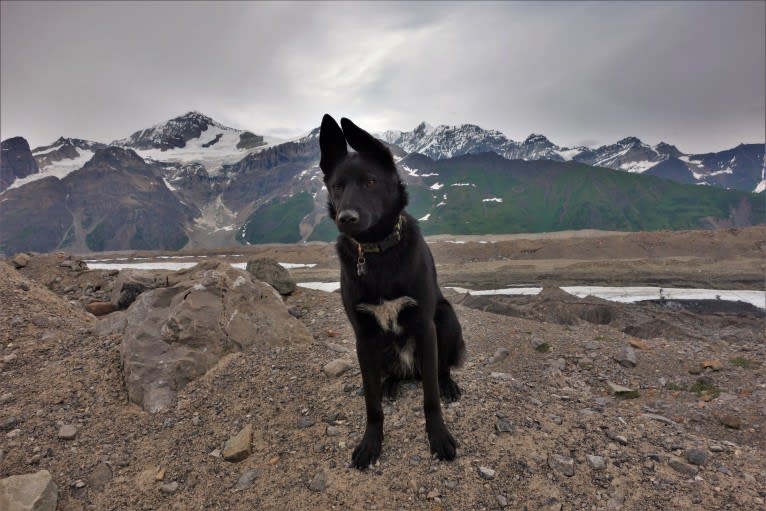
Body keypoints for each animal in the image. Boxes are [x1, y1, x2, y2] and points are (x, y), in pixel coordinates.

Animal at [320, 114, 468, 470]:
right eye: (337, 186)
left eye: (370, 182)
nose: (346, 218)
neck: (377, 252)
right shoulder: (363, 336)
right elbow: (372, 405)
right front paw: (370, 443)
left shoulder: (425, 326)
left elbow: (430, 398)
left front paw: (438, 436)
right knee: (391, 376)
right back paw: (390, 385)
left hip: (446, 318)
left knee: (438, 369)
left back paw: (448, 384)